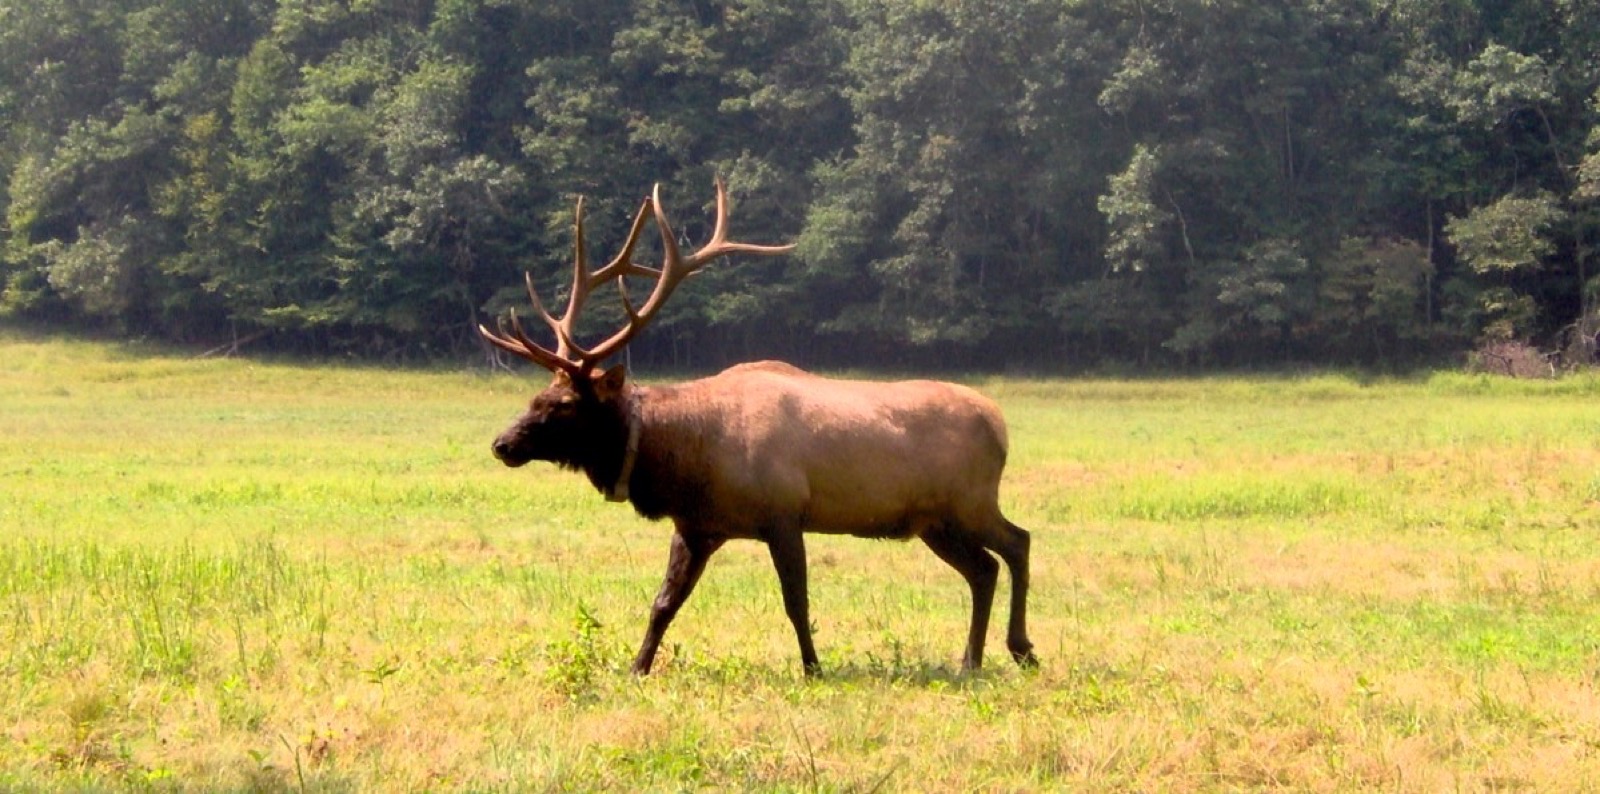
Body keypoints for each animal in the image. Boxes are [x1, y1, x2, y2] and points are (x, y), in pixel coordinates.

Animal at [479, 179, 1037, 676]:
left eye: (564, 404)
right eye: (535, 397)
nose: (502, 444)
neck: (687, 456)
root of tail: (1000, 424)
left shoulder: (784, 513)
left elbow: (796, 602)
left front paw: (813, 668)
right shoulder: (697, 526)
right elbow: (663, 603)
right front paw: (636, 668)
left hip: (970, 500)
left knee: (1017, 542)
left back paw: (1021, 649)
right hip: (933, 521)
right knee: (983, 568)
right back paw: (971, 659)